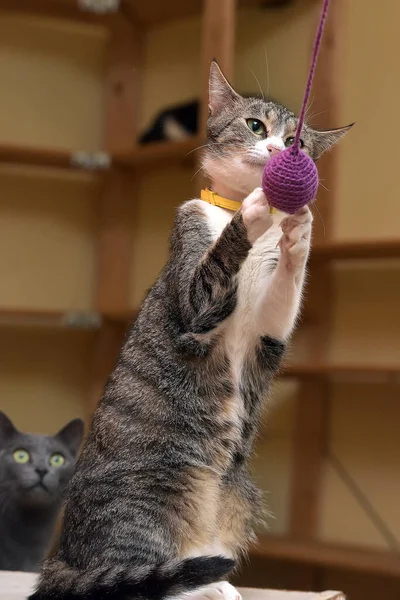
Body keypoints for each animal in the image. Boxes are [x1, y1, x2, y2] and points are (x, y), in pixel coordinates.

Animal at [31, 61, 352, 600]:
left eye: (298, 142)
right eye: (256, 127)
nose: (278, 154)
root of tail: (64, 559)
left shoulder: (271, 330)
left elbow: (287, 287)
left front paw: (300, 230)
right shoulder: (196, 300)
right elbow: (215, 265)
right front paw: (260, 204)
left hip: (238, 494)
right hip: (158, 493)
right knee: (137, 575)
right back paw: (201, 584)